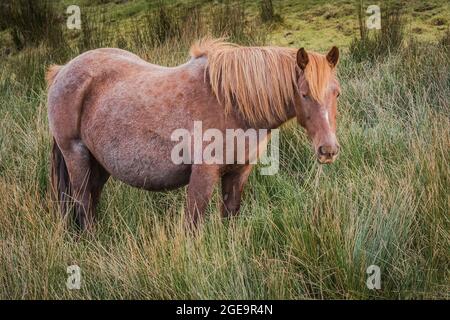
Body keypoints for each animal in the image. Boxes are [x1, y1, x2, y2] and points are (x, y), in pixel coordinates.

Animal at [46, 38, 342, 230]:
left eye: (336, 92)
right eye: (304, 94)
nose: (328, 150)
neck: (231, 102)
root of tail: (62, 71)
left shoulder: (239, 172)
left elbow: (230, 216)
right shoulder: (203, 173)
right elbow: (193, 224)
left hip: (99, 164)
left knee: (89, 201)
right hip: (76, 155)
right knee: (83, 202)